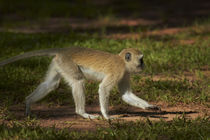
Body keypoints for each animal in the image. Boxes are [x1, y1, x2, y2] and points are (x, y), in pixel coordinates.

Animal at [0, 47, 160, 119]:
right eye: (141, 60)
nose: (144, 65)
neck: (122, 61)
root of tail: (63, 51)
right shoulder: (118, 71)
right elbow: (103, 89)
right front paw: (107, 116)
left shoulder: (125, 73)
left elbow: (126, 95)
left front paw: (149, 106)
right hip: (68, 64)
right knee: (78, 81)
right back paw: (82, 113)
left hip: (59, 63)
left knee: (50, 84)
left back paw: (28, 103)